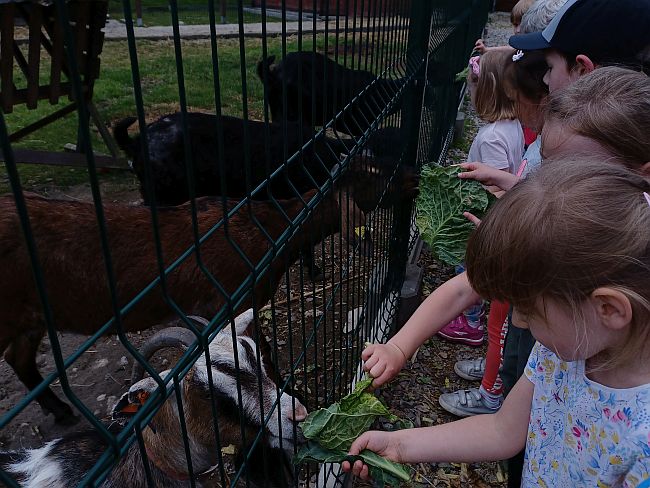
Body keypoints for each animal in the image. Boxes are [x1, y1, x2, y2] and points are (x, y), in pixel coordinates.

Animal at [0, 157, 418, 424]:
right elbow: (262, 350)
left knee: (17, 357)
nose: (414, 174)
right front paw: (286, 392)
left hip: (29, 317)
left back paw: (61, 411)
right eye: (374, 176)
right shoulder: (233, 299)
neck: (269, 232)